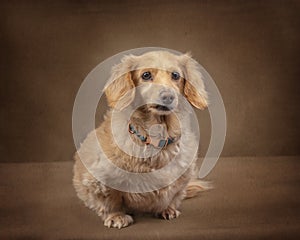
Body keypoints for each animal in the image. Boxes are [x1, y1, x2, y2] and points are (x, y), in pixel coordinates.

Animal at [72, 51, 209, 229]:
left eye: (175, 75)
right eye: (146, 75)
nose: (168, 97)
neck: (156, 139)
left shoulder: (181, 180)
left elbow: (173, 196)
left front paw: (167, 209)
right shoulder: (99, 179)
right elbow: (111, 200)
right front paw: (116, 216)